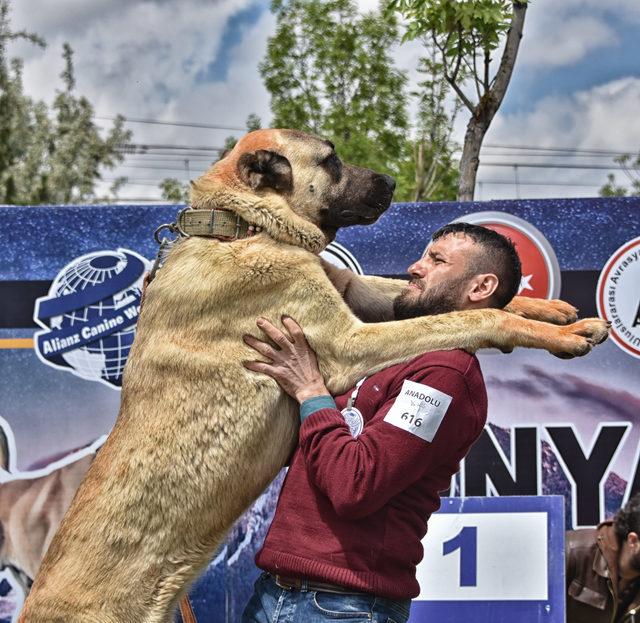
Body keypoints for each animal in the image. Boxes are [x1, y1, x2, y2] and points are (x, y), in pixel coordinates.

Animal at [20, 128, 608, 623]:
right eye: (331, 160)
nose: (392, 180)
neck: (243, 226)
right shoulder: (349, 339)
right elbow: (469, 317)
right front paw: (561, 334)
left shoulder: (357, 294)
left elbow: (439, 299)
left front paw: (555, 311)